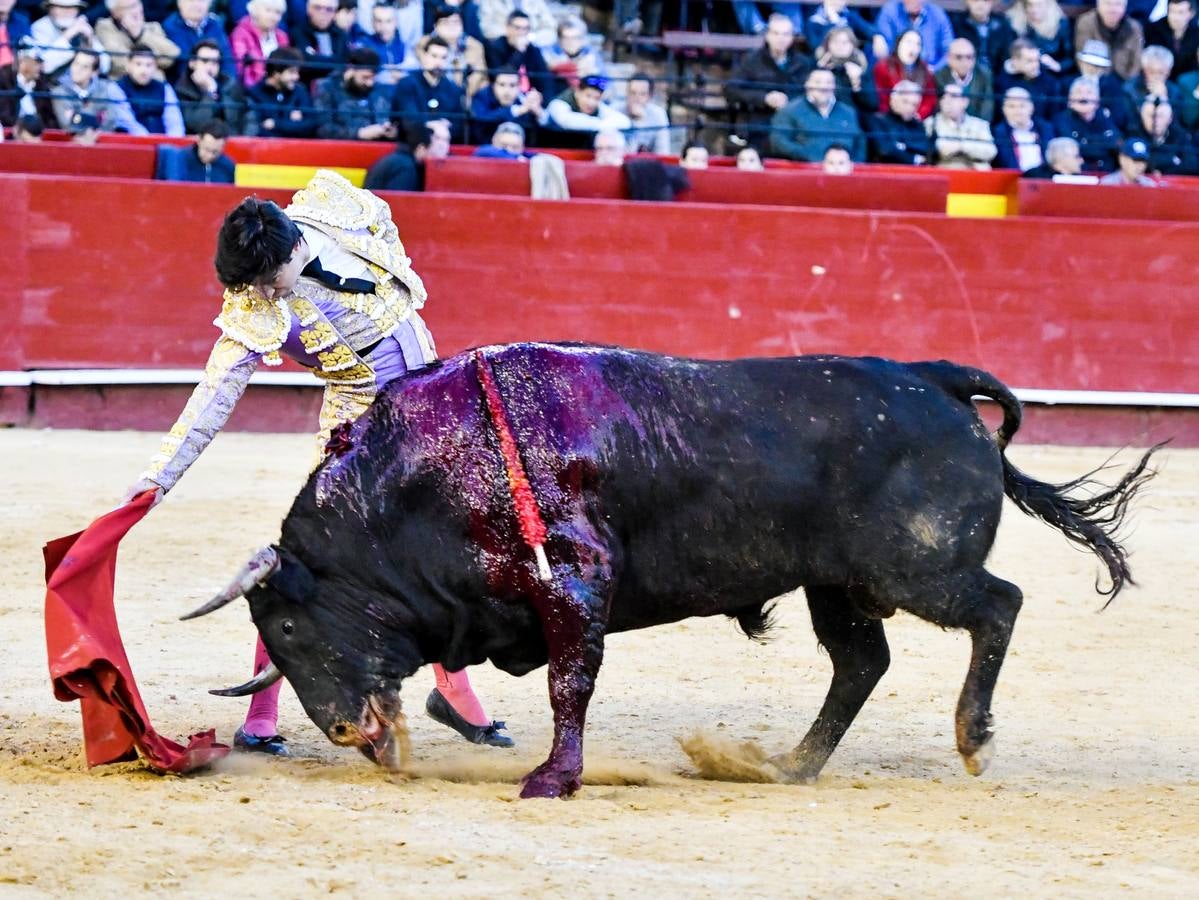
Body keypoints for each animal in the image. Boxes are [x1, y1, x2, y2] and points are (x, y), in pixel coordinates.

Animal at [189, 347, 1160, 800]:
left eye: (286, 626)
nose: (343, 731)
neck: (422, 478)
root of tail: (932, 379)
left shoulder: (575, 582)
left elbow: (571, 684)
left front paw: (552, 778)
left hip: (917, 569)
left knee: (998, 604)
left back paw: (971, 737)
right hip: (837, 586)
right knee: (860, 663)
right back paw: (788, 765)